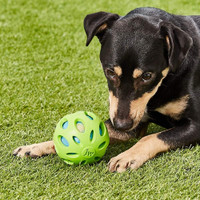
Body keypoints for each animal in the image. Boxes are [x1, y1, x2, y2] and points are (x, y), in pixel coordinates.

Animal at [13, 7, 200, 173]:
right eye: (110, 72)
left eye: (147, 76)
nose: (121, 125)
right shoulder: (135, 120)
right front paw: (35, 147)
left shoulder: (196, 125)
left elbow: (152, 137)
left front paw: (126, 157)